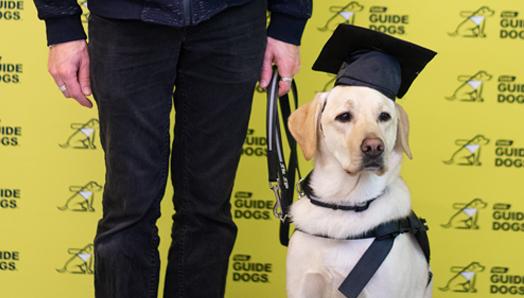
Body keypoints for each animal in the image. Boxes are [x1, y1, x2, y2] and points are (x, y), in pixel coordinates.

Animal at [286, 85, 430, 298]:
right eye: (344, 116)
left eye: (384, 116)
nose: (374, 147)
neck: (345, 204)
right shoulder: (302, 286)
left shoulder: (380, 291)